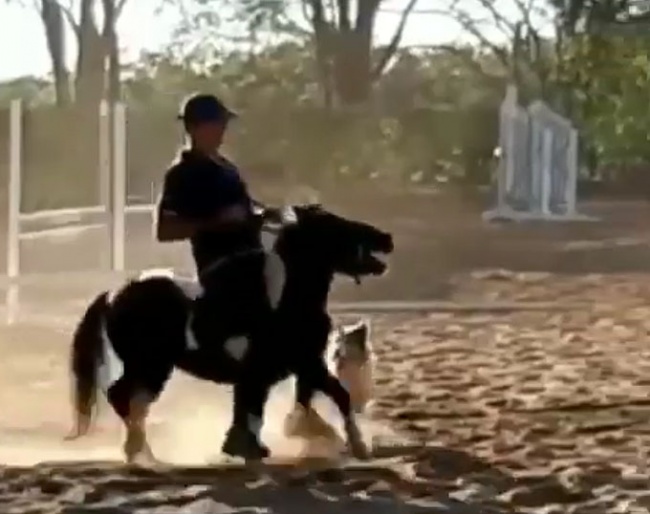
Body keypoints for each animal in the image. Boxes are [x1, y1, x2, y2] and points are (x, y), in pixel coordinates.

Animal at [67, 203, 390, 460]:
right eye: (334, 225)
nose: (386, 238)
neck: (287, 302)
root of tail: (112, 295)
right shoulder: (297, 365)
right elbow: (333, 397)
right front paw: (357, 447)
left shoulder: (297, 367)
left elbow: (267, 407)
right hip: (150, 365)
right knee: (123, 397)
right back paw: (141, 453)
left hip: (151, 368)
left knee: (133, 402)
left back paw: (141, 450)